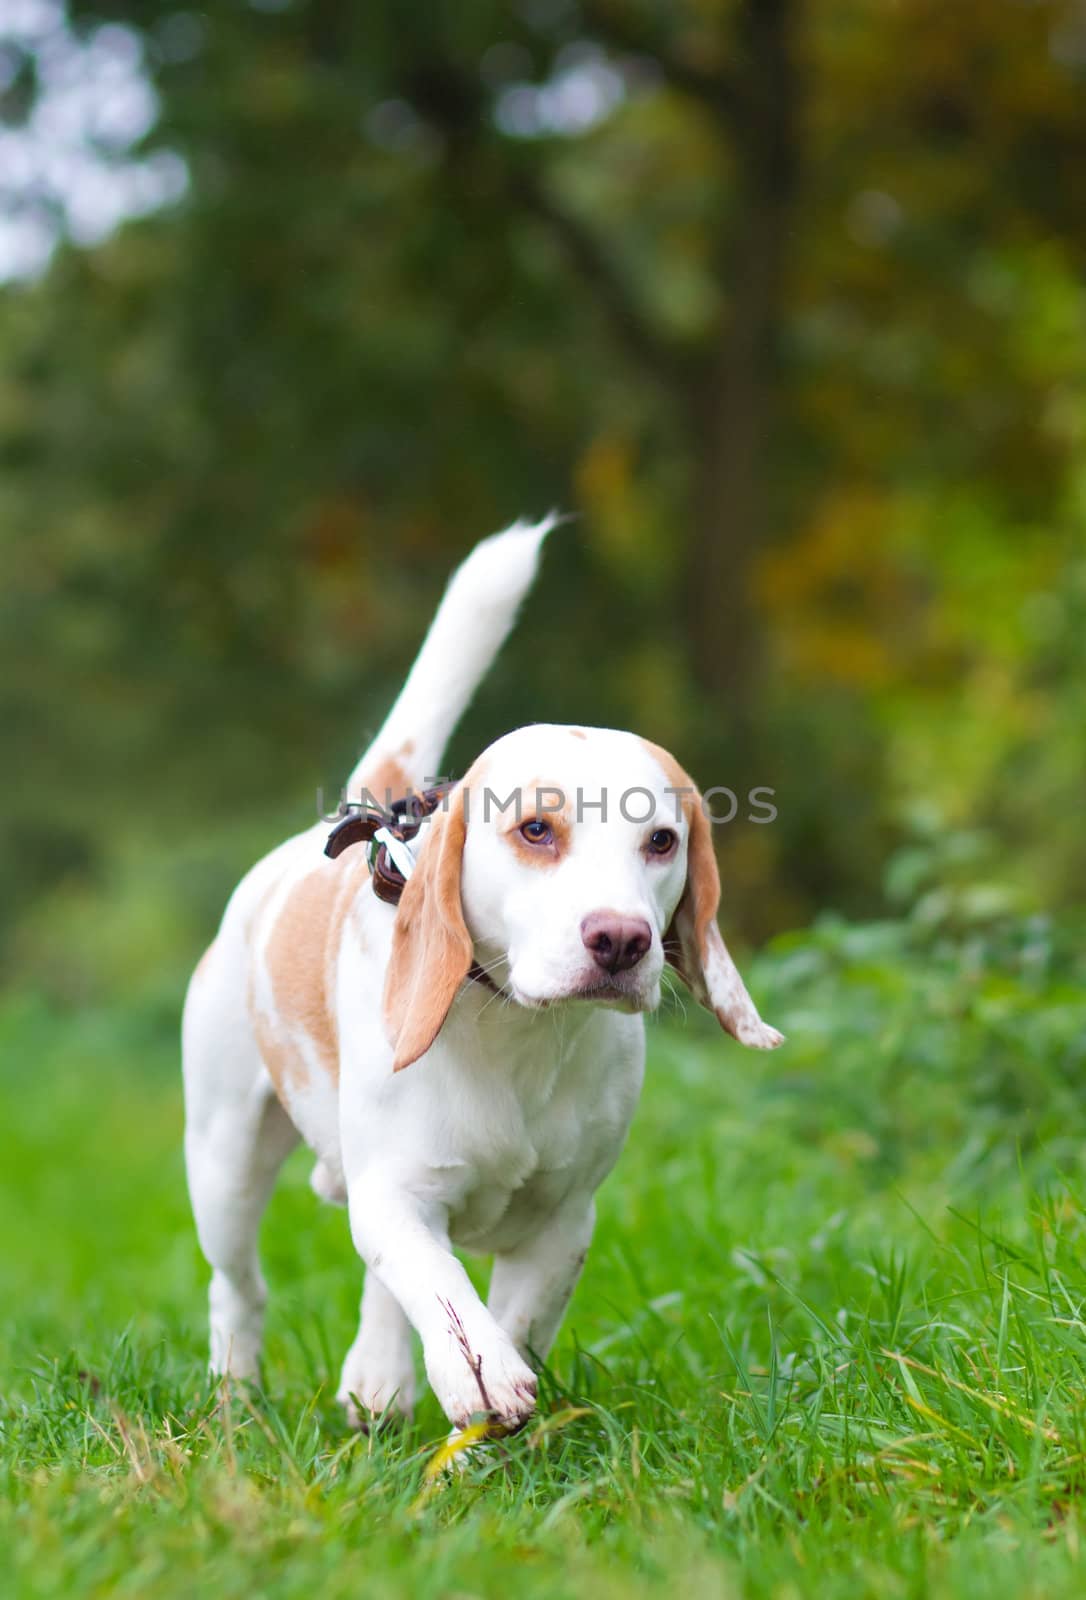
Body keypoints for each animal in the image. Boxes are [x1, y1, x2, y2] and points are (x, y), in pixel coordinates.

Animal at [184, 518, 780, 1433]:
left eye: (662, 842)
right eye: (535, 829)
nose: (621, 941)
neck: (518, 1036)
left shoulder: (564, 1221)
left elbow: (514, 1318)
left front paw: (488, 1405)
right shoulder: (395, 1196)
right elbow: (441, 1288)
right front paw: (479, 1371)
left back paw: (376, 1380)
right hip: (225, 1164)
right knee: (239, 1291)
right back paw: (236, 1397)